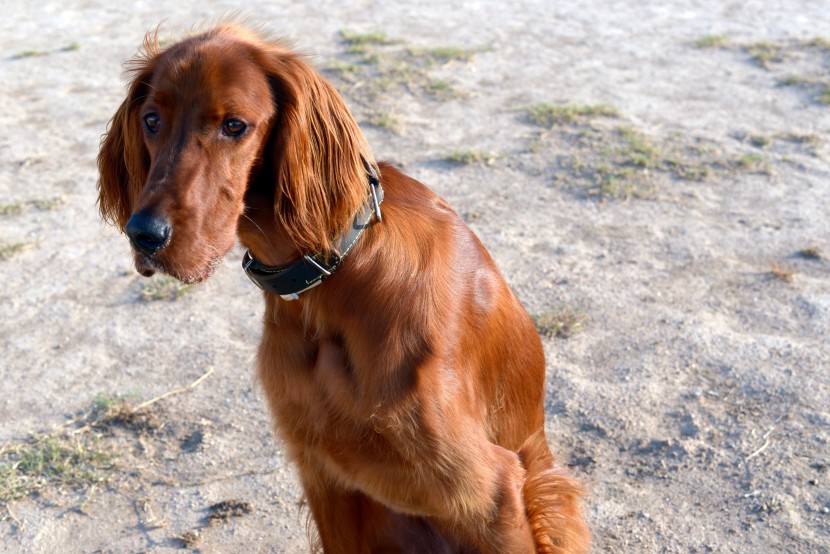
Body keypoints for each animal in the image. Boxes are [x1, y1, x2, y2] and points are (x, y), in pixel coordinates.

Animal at [97, 24, 592, 552]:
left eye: (234, 125)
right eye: (151, 120)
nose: (145, 235)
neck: (336, 275)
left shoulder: (491, 493)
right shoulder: (325, 477)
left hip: (549, 495)